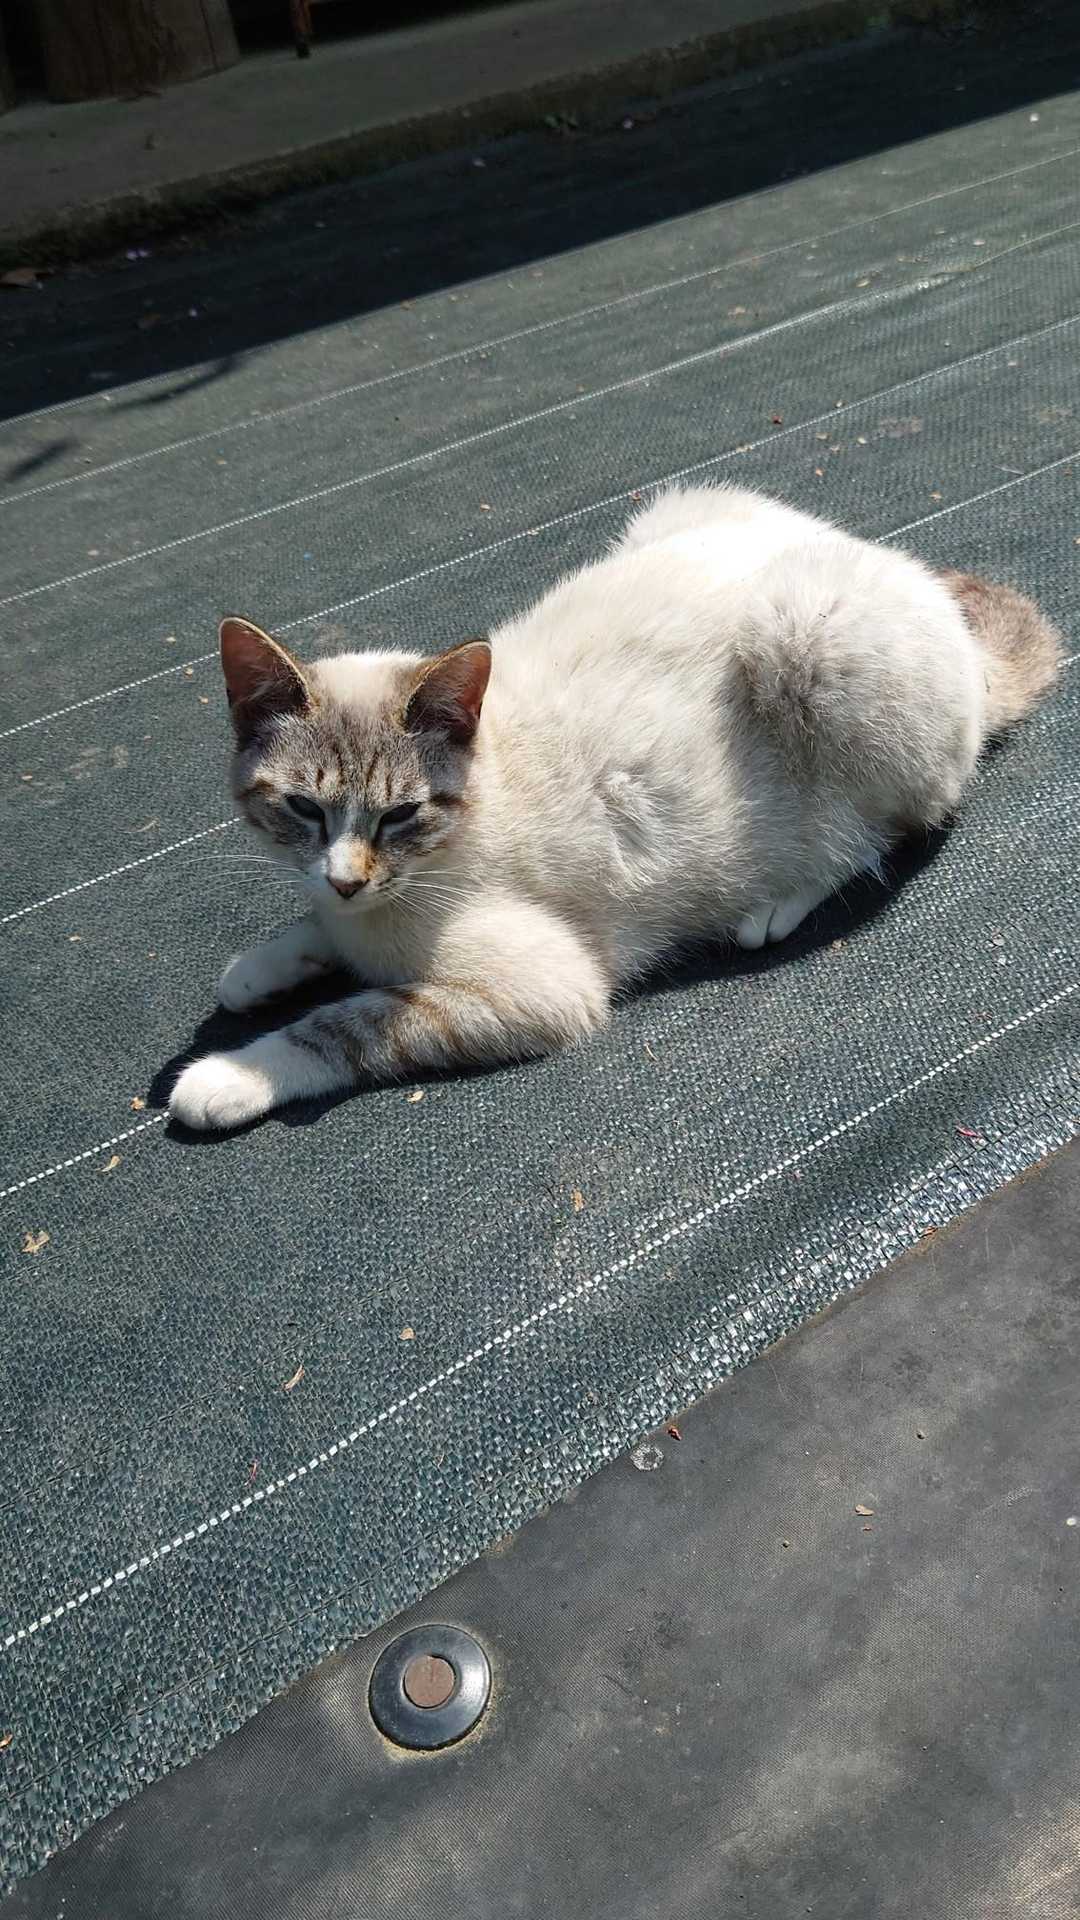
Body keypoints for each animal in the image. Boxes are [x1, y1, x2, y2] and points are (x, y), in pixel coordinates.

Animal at [169, 483, 1062, 1131]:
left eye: (399, 815)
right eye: (302, 809)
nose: (350, 880)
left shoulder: (538, 989)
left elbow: (343, 1024)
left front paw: (223, 1077)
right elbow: (310, 932)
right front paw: (259, 969)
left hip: (810, 633)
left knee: (894, 824)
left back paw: (772, 905)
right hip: (674, 509)